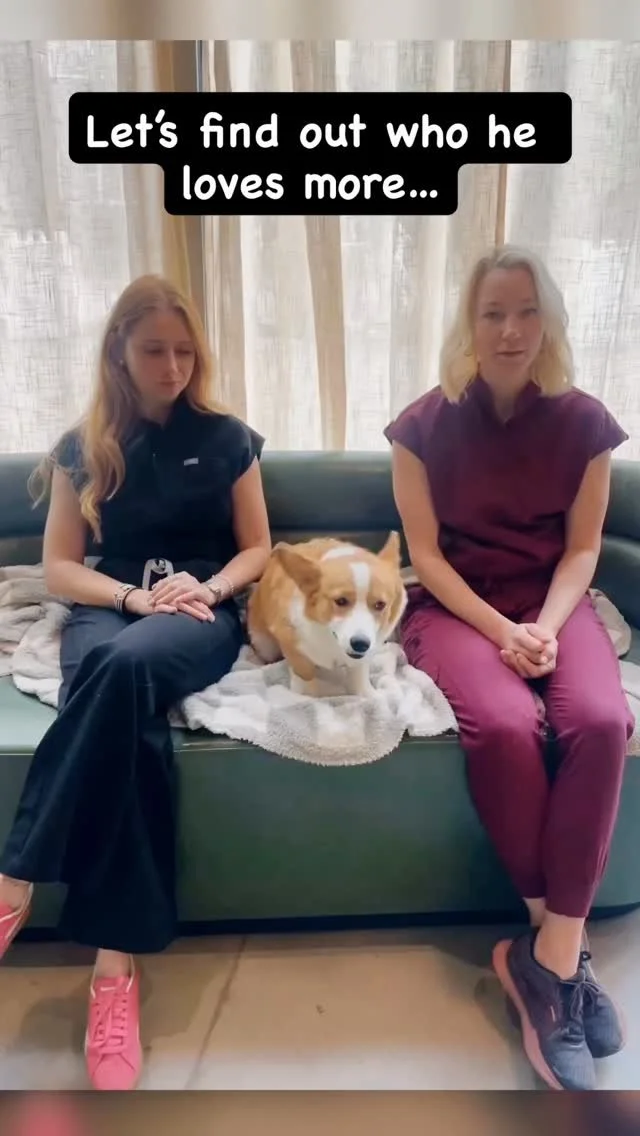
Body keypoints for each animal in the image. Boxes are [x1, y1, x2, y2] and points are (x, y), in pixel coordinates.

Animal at [246, 533, 407, 697]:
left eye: (380, 604)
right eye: (341, 601)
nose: (360, 644)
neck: (329, 637)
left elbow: (359, 676)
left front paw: (367, 693)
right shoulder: (292, 646)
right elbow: (305, 676)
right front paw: (307, 695)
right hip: (265, 646)